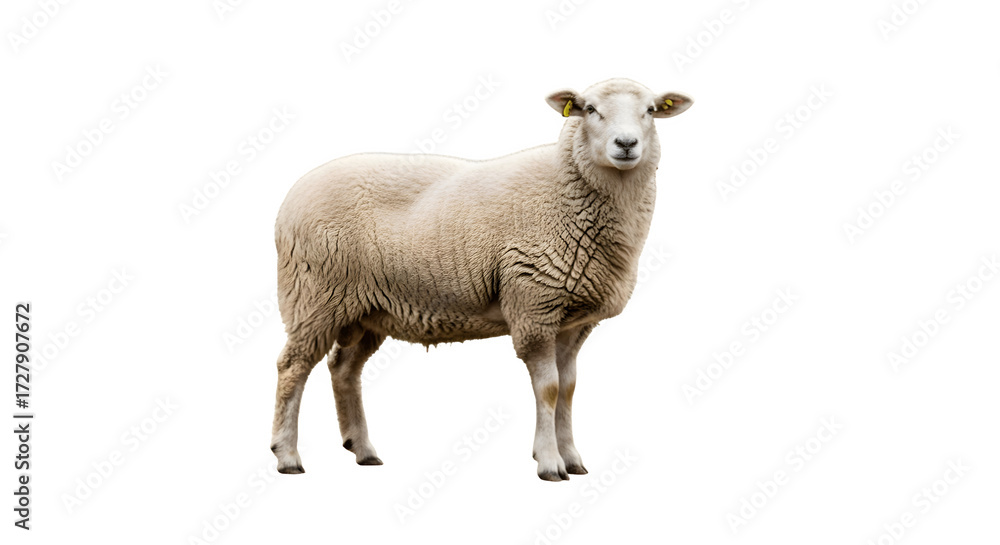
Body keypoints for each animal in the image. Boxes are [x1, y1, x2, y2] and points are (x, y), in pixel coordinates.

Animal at [269, 78, 693, 481]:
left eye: (651, 110)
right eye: (589, 109)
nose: (626, 144)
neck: (564, 188)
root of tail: (291, 197)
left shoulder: (573, 320)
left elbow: (569, 389)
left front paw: (572, 458)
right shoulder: (533, 306)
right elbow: (550, 388)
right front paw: (549, 463)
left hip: (366, 306)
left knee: (343, 368)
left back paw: (362, 449)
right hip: (314, 294)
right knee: (292, 367)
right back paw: (287, 455)